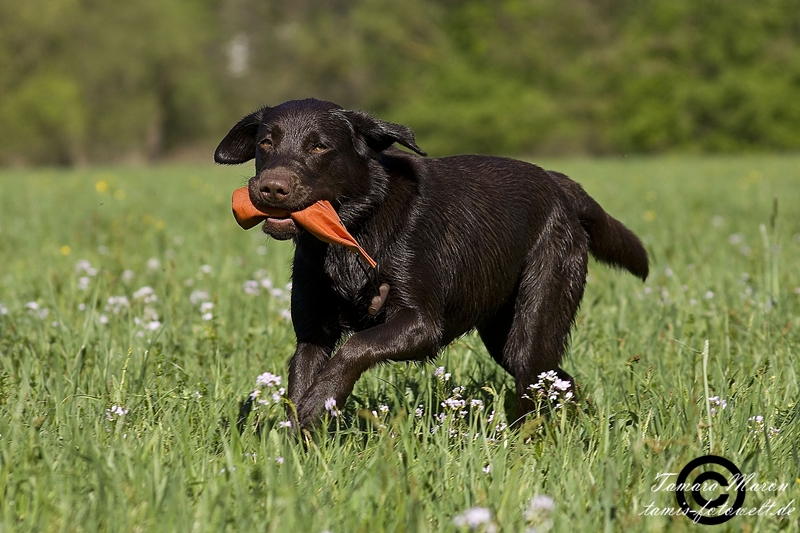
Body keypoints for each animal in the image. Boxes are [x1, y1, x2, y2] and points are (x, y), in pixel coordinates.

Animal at [214, 98, 648, 428]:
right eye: (266, 143)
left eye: (319, 146)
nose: (271, 187)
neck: (355, 230)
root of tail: (559, 184)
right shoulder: (312, 332)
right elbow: (300, 381)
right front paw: (297, 447)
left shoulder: (421, 325)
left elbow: (355, 347)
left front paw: (319, 402)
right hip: (503, 333)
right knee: (561, 381)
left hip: (533, 323)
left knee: (538, 384)